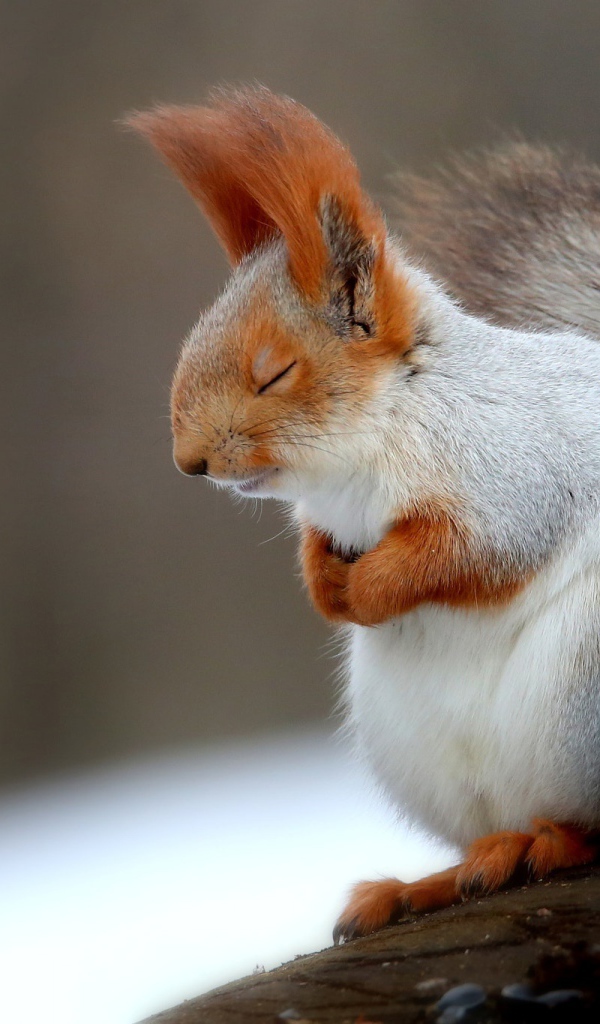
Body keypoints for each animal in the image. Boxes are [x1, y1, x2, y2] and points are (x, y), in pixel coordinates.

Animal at [128, 90, 597, 942]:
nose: (191, 462)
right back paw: (432, 881)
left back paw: (544, 844)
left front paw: (373, 590)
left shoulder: (518, 475)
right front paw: (326, 589)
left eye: (274, 372)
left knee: (586, 826)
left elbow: (468, 552)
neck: (357, 461)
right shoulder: (330, 517)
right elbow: (320, 550)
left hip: (583, 695)